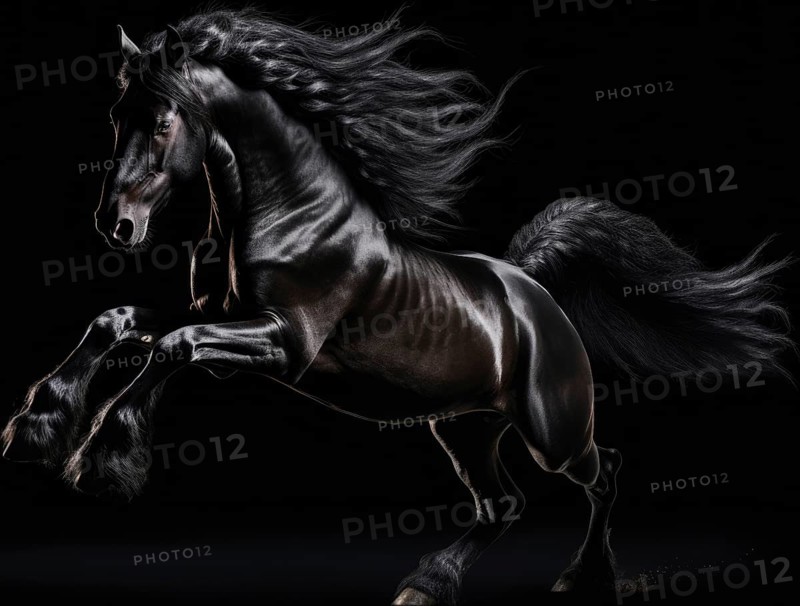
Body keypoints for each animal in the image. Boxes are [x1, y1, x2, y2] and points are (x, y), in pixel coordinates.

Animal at [1, 8, 792, 605]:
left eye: (163, 120)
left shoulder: (284, 345)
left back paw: (582, 578)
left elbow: (175, 345)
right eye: (116, 114)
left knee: (607, 472)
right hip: (465, 428)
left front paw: (102, 460)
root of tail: (533, 291)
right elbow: (123, 323)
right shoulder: (226, 326)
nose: (116, 226)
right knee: (504, 503)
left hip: (552, 430)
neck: (290, 215)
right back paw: (426, 585)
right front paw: (37, 427)